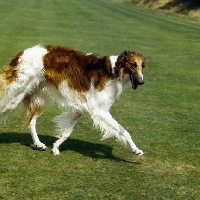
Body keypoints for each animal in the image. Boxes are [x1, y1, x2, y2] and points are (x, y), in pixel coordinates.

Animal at [0, 45, 145, 156]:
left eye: (143, 66)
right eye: (133, 64)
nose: (141, 82)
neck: (113, 71)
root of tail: (21, 54)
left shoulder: (79, 109)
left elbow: (66, 133)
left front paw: (55, 148)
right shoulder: (100, 111)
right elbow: (124, 131)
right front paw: (136, 150)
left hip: (37, 97)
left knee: (31, 122)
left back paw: (39, 144)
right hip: (15, 96)